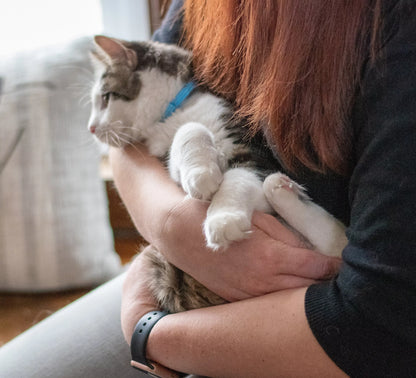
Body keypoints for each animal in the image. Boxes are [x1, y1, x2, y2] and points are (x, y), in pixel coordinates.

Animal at [88, 36, 348, 314]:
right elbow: (189, 132)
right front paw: (202, 175)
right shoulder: (169, 162)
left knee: (333, 242)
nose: (91, 128)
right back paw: (284, 189)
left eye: (105, 97)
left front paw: (223, 218)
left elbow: (237, 176)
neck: (175, 110)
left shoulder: (247, 148)